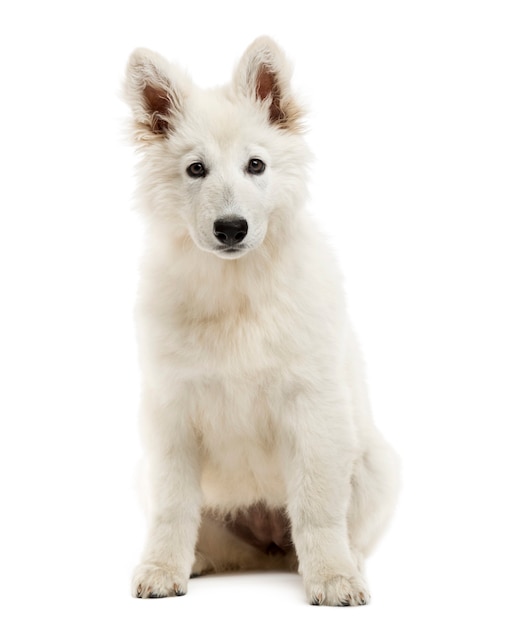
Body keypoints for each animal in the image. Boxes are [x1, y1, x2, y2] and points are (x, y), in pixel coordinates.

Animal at [124, 35, 400, 604]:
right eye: (196, 169)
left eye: (256, 165)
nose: (232, 228)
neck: (237, 290)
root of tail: (269, 545)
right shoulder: (169, 411)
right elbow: (172, 507)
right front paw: (161, 569)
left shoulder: (313, 406)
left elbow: (318, 508)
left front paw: (333, 579)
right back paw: (197, 561)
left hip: (375, 464)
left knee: (341, 529)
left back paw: (351, 563)